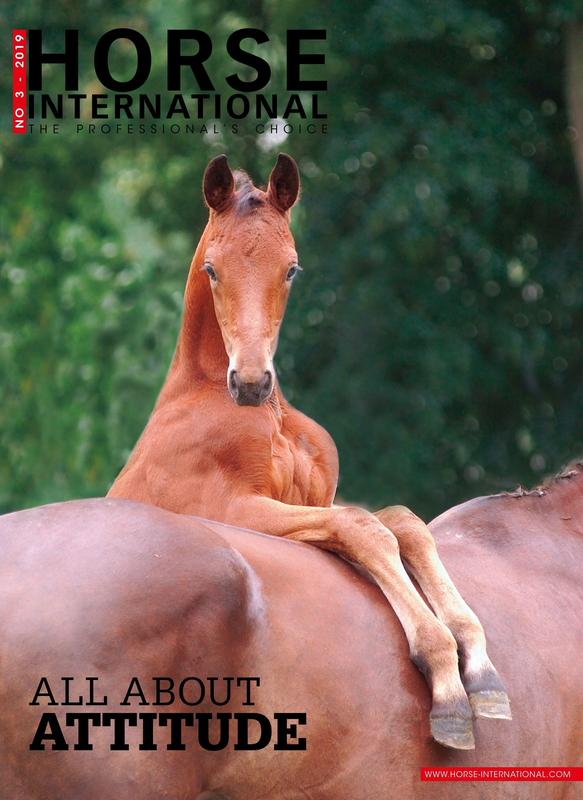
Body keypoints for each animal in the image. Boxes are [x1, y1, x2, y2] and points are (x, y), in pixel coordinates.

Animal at [107, 154, 509, 749]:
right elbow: (362, 528)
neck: (264, 415)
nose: (252, 382)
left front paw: (479, 666)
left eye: (291, 269)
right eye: (212, 269)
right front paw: (445, 676)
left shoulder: (316, 498)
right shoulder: (229, 508)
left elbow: (401, 521)